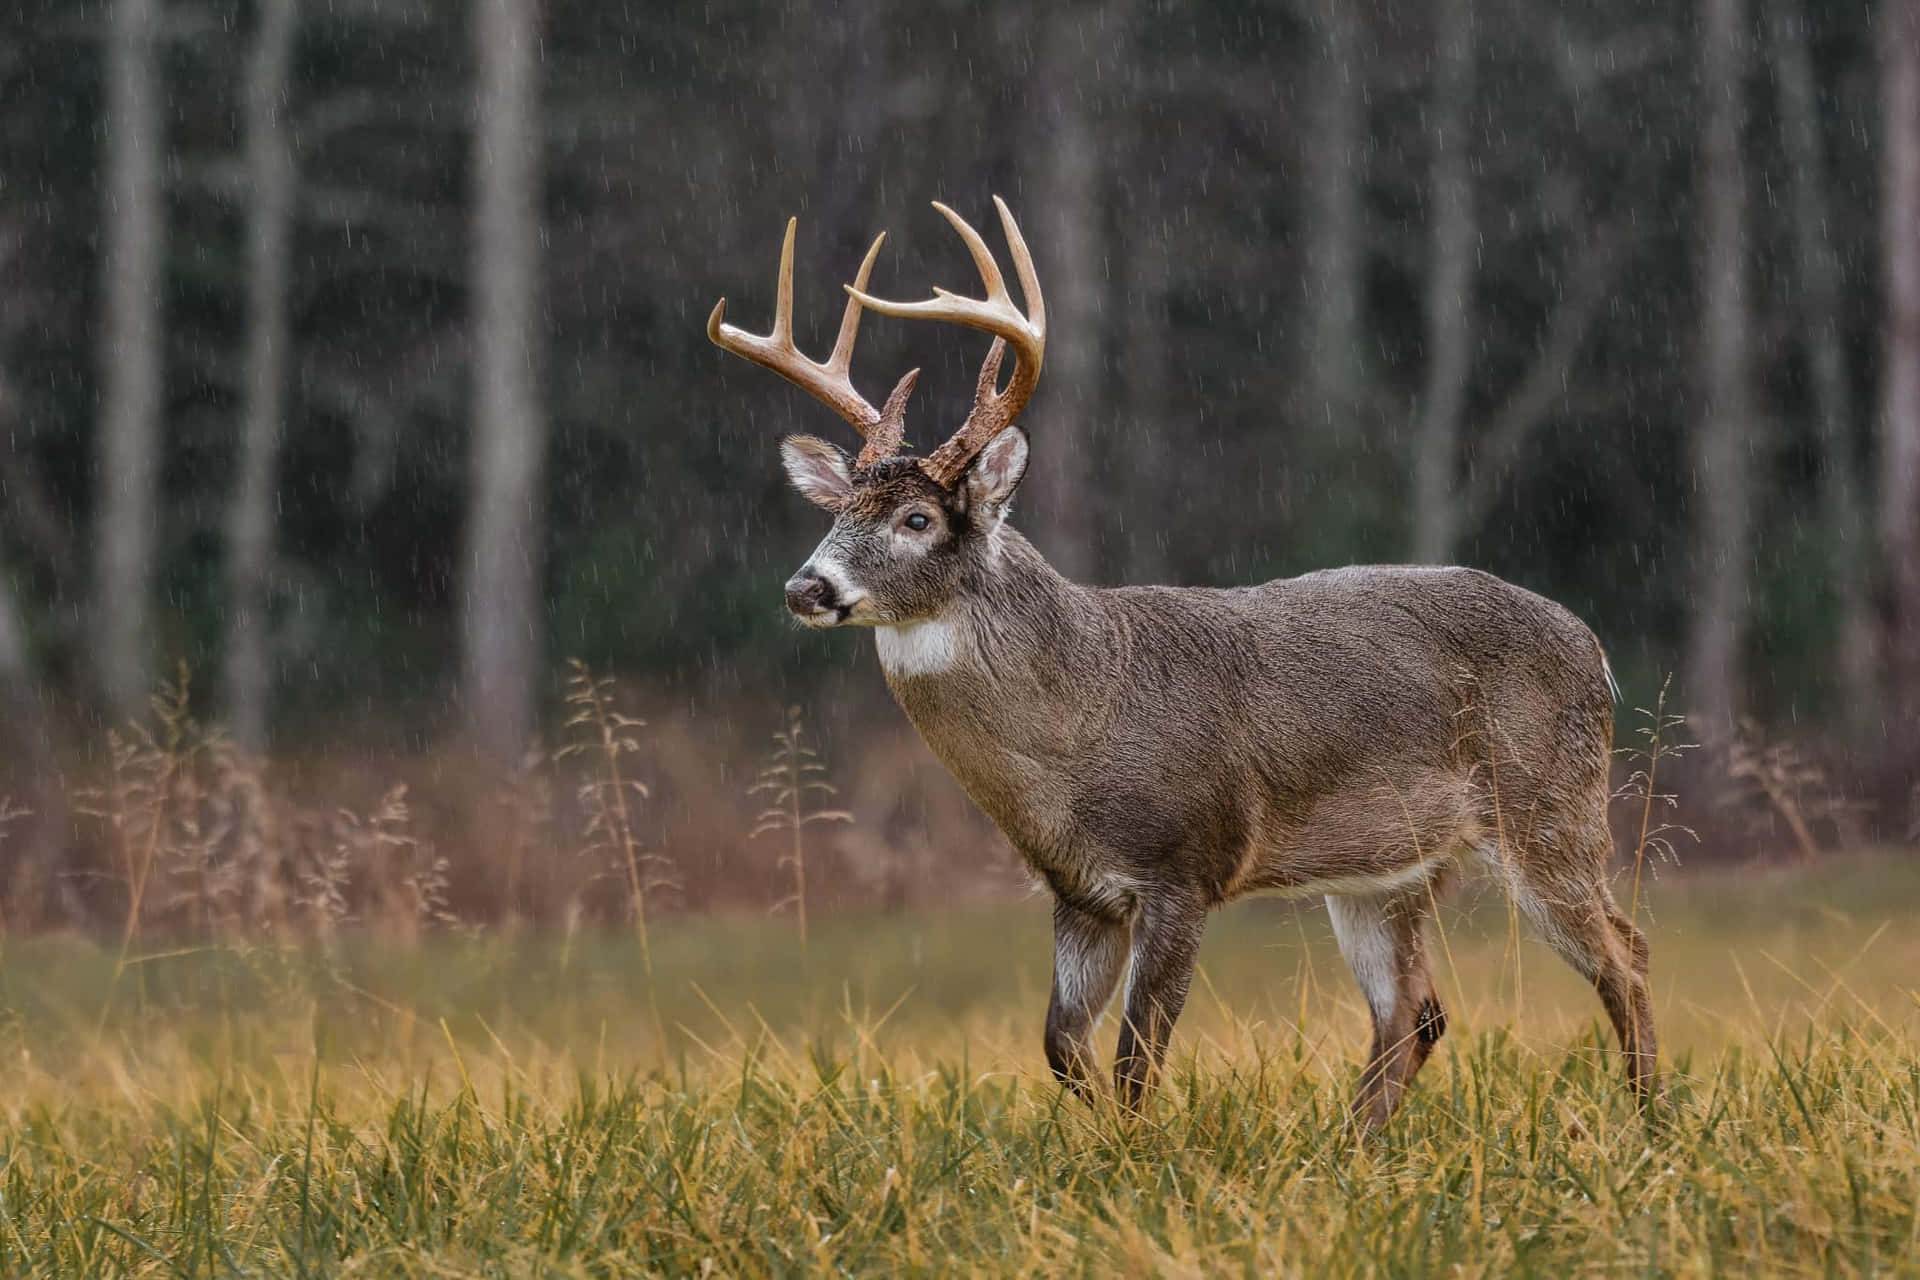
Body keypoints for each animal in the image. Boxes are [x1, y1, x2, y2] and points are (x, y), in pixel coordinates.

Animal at [707, 198, 1658, 1130]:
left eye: (917, 520)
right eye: (839, 512)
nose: (806, 585)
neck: (1077, 723)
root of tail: (1593, 647)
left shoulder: (1184, 864)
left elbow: (1137, 1057)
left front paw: (1140, 1156)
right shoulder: (1079, 893)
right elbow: (1062, 1046)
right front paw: (1101, 1150)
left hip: (1547, 803)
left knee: (1626, 953)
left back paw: (1649, 1125)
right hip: (1389, 868)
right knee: (1414, 1011)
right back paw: (1346, 1150)